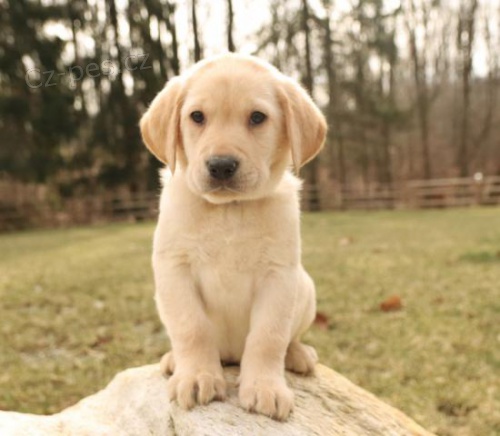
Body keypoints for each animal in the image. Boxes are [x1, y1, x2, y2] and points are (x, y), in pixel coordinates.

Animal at [140, 52, 328, 420]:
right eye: (197, 116)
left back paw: (298, 355)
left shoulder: (278, 275)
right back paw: (173, 361)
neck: (228, 211)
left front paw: (266, 387)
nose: (221, 166)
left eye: (257, 117)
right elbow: (192, 328)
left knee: (289, 338)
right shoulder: (174, 267)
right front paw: (197, 376)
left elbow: (268, 337)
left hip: (306, 289)